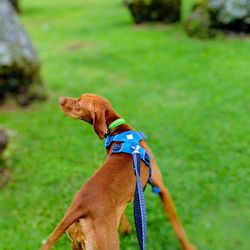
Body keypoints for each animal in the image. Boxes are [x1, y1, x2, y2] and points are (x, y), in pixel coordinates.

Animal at [40, 94, 195, 250]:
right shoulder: (161, 188)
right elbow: (177, 227)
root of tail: (79, 207)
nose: (60, 99)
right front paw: (188, 246)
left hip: (76, 244)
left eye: (79, 102)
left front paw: (126, 229)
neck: (119, 131)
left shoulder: (124, 199)